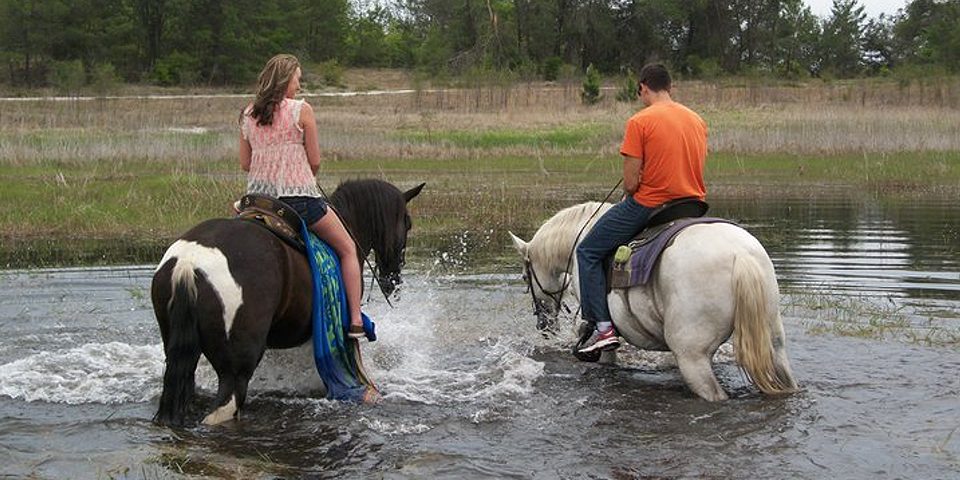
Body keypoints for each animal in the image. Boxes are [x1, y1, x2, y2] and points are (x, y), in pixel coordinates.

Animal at [512, 202, 800, 402]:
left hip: (693, 357)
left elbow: (606, 352)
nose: (544, 325)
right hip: (773, 345)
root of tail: (741, 257)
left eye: (526, 277)